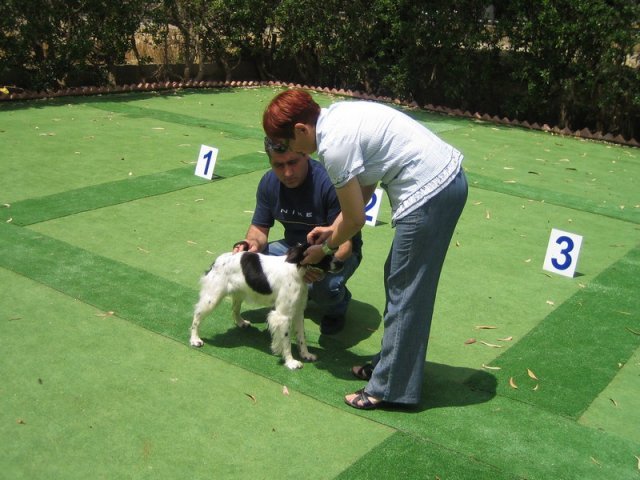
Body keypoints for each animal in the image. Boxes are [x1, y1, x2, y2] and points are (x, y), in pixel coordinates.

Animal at [189, 242, 342, 370]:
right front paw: (291, 362)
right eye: (326, 254)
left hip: (239, 292)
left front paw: (306, 355)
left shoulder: (298, 312)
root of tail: (218, 260)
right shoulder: (283, 315)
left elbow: (301, 337)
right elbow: (286, 341)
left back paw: (241, 322)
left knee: (235, 309)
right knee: (197, 316)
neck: (297, 270)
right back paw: (195, 339)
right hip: (212, 298)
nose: (341, 263)